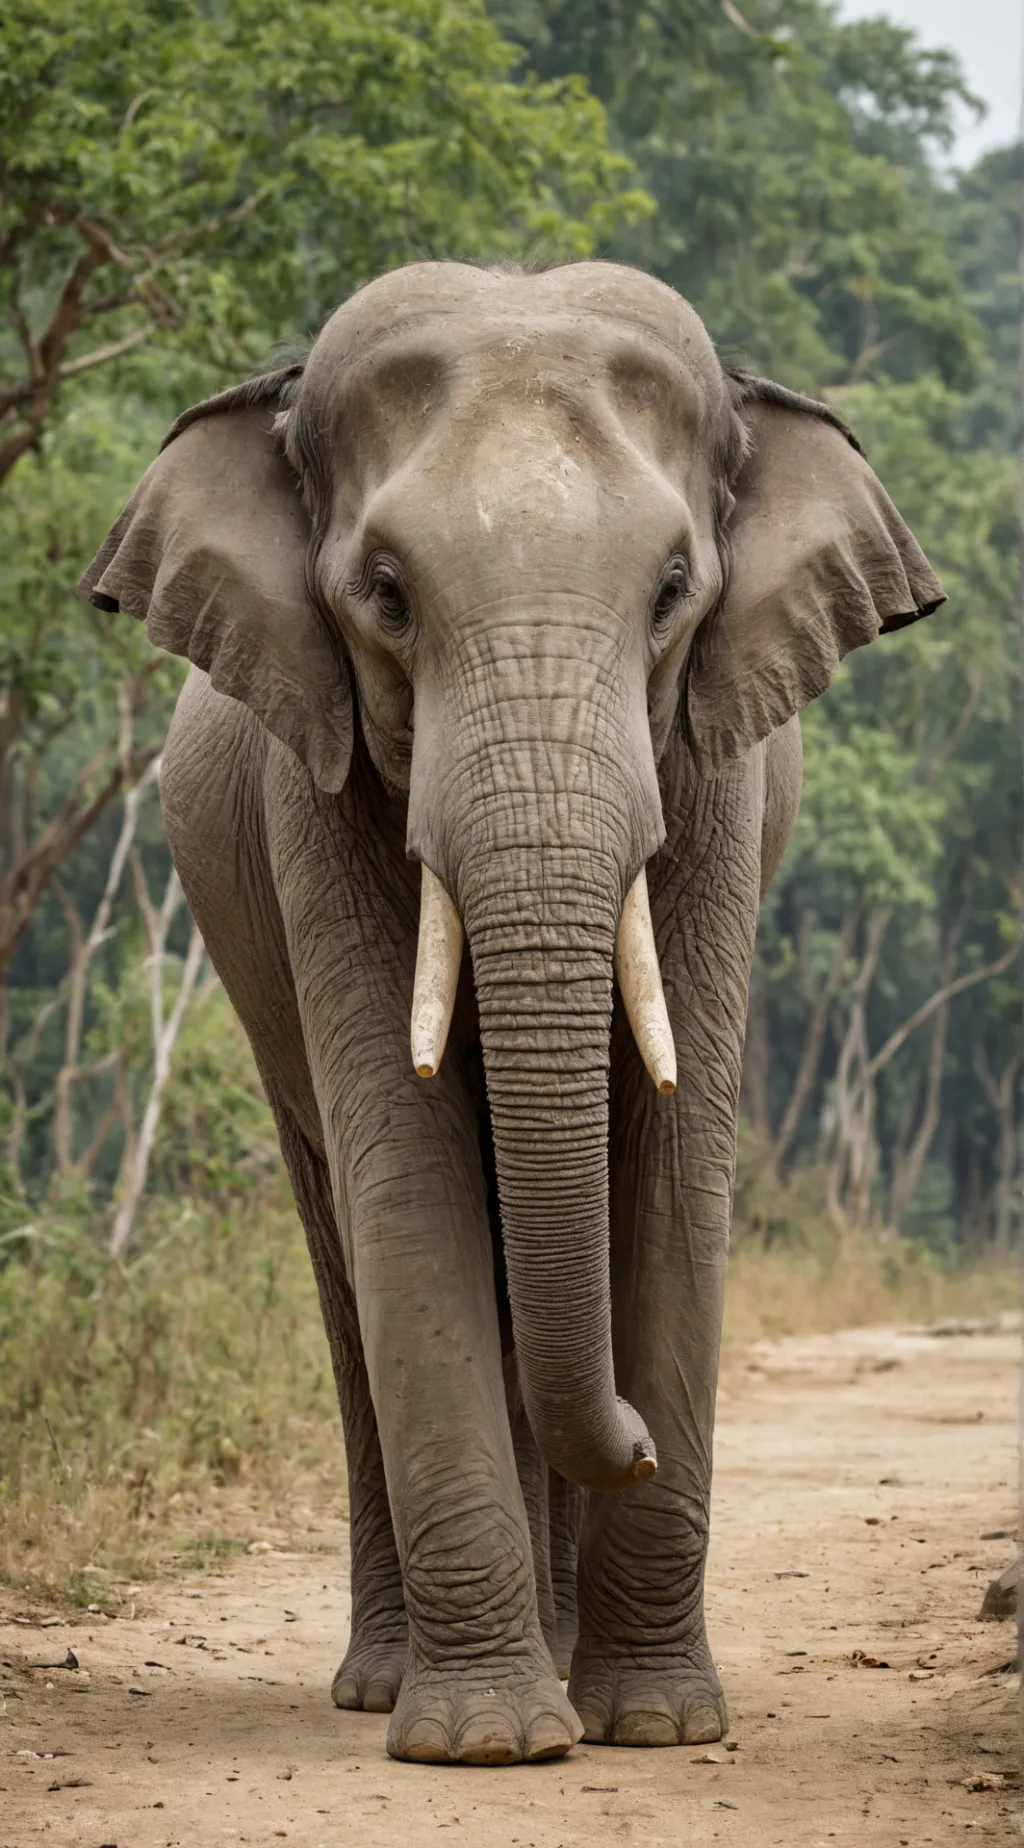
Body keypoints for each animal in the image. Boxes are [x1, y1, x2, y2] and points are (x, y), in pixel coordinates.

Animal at [78, 260, 942, 1766]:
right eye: (385, 595)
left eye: (672, 593)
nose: (641, 1433)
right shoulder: (317, 785)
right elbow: (408, 1178)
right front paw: (487, 1743)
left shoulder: (711, 779)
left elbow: (671, 1169)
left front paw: (655, 1727)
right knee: (345, 1244)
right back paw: (400, 1681)